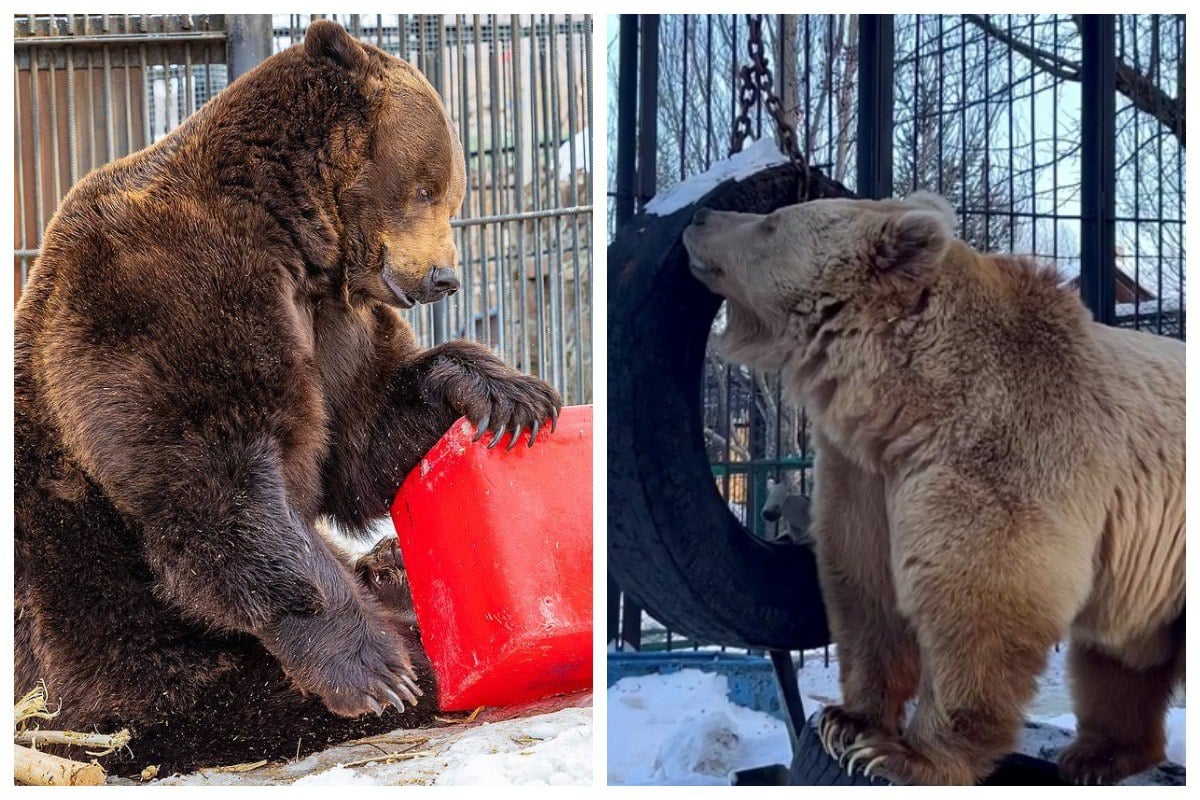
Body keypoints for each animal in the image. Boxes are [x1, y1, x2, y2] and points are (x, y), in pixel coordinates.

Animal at [14, 21, 559, 777]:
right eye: (426, 187)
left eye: (450, 195)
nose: (446, 277)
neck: (298, 239)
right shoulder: (168, 287)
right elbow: (217, 474)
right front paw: (370, 667)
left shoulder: (331, 322)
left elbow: (359, 437)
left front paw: (505, 393)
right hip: (83, 600)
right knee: (189, 686)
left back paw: (392, 566)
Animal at [686, 195, 1180, 786]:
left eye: (771, 223)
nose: (700, 216)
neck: (904, 403)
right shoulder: (865, 474)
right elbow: (864, 584)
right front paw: (847, 722)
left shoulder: (1006, 442)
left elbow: (980, 593)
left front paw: (904, 755)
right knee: (1121, 661)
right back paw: (1098, 755)